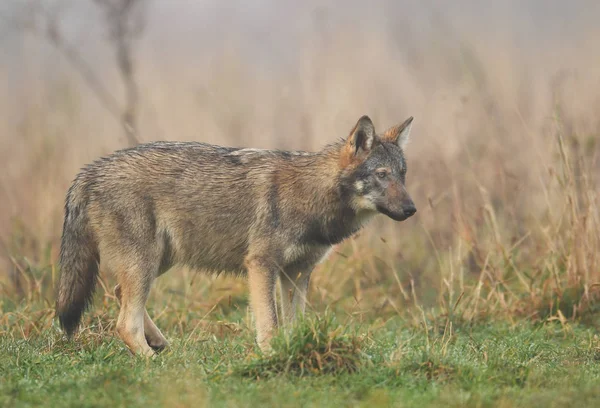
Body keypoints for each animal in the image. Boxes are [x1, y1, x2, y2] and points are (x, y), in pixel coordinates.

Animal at [54, 115, 414, 356]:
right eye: (382, 175)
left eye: (402, 175)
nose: (411, 209)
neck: (313, 194)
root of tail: (89, 171)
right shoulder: (261, 266)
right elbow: (269, 324)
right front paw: (272, 360)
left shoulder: (298, 272)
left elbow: (295, 324)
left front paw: (293, 352)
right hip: (146, 262)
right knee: (124, 324)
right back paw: (156, 364)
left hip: (159, 260)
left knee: (119, 294)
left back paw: (159, 343)